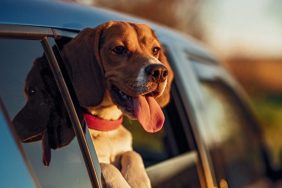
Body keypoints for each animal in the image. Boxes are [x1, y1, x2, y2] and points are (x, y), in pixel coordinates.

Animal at [14, 20, 173, 188]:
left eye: (155, 50)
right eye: (119, 49)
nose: (160, 72)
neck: (105, 127)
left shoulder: (126, 149)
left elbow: (133, 154)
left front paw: (138, 180)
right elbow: (107, 166)